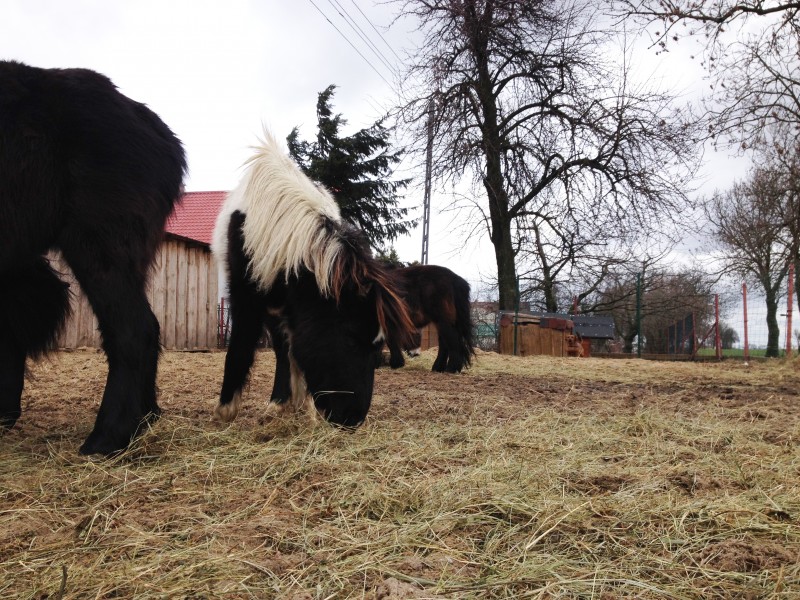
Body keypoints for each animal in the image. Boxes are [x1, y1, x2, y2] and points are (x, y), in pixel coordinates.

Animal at [212, 134, 416, 428]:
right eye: (351, 339)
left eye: (379, 346)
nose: (353, 419)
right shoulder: (244, 296)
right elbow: (240, 346)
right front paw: (225, 410)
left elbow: (294, 354)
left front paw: (304, 407)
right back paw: (279, 403)